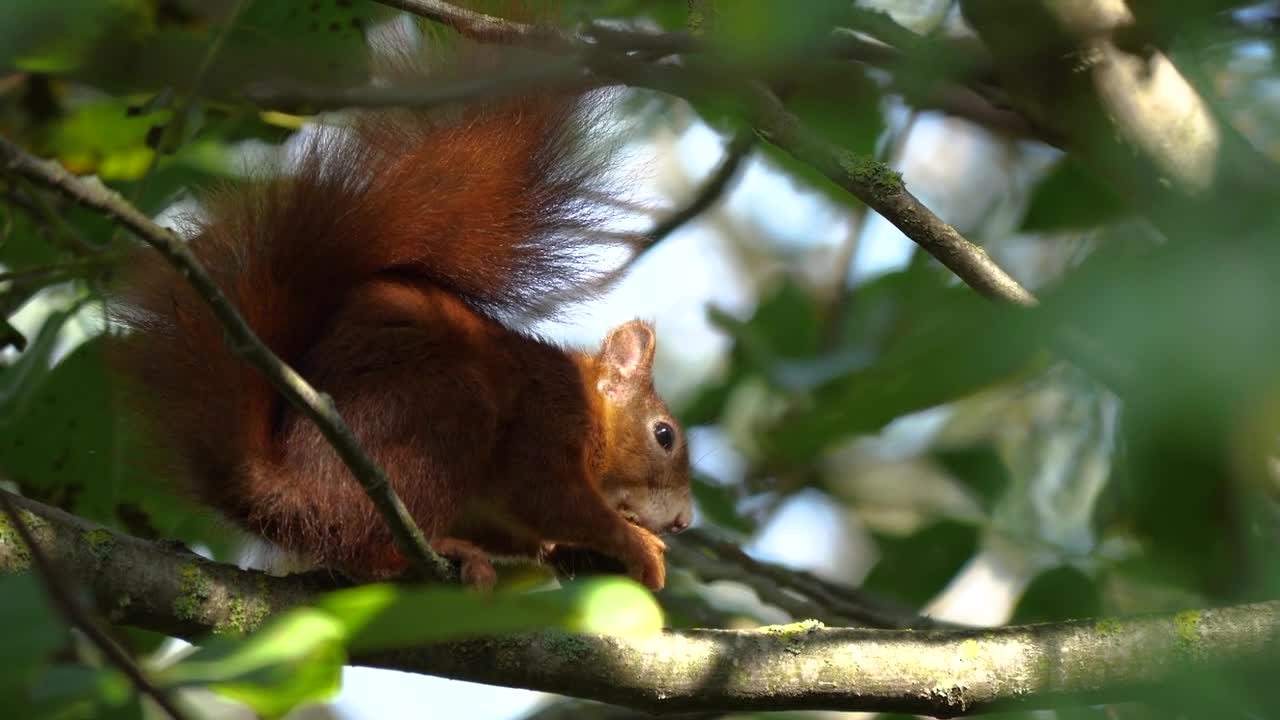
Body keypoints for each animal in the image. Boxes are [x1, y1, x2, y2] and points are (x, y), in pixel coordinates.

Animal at [107, 78, 691, 589]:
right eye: (664, 435)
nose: (684, 522)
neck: (591, 410)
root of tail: (292, 495)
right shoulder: (547, 421)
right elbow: (550, 498)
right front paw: (637, 544)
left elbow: (524, 527)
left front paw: (565, 551)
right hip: (435, 419)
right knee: (368, 548)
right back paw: (427, 554)